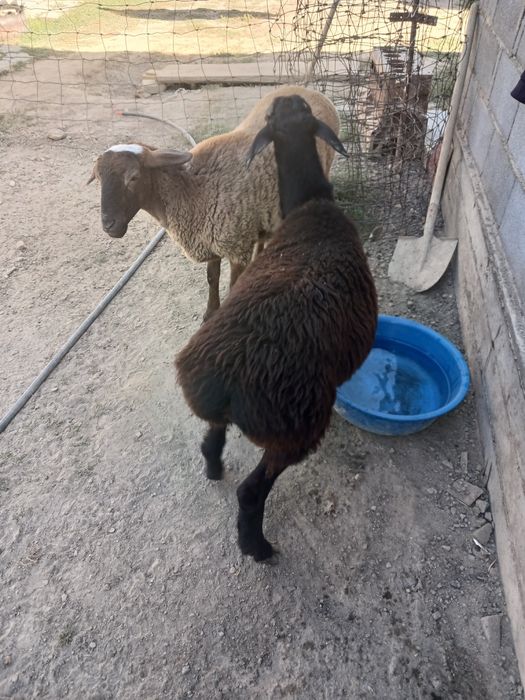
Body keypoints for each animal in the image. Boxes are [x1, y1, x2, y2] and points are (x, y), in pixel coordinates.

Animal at [88, 86, 340, 321]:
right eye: (98, 178)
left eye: (133, 178)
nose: (109, 225)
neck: (191, 191)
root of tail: (310, 90)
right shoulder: (211, 240)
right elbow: (212, 278)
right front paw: (210, 312)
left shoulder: (236, 245)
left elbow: (233, 284)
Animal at [175, 94, 378, 562]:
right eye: (273, 116)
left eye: (297, 113)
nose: (288, 99)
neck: (310, 207)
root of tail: (222, 381)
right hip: (294, 429)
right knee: (251, 492)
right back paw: (258, 546)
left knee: (212, 437)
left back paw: (213, 467)